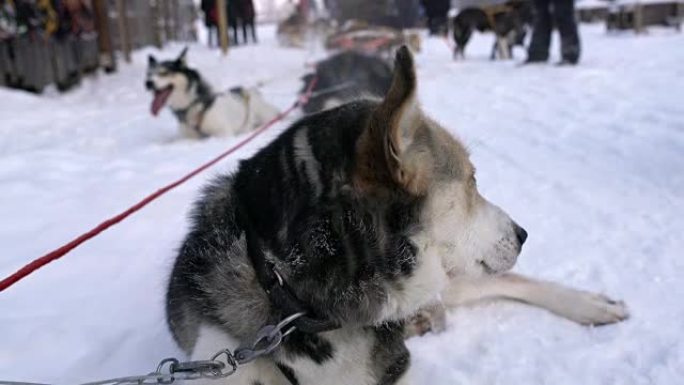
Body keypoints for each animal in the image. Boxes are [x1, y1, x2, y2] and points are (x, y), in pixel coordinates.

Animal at [146, 47, 280, 138]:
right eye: (149, 74)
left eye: (164, 73)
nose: (148, 83)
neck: (194, 106)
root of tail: (247, 90)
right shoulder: (189, 138)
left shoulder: (223, 133)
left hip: (265, 115)